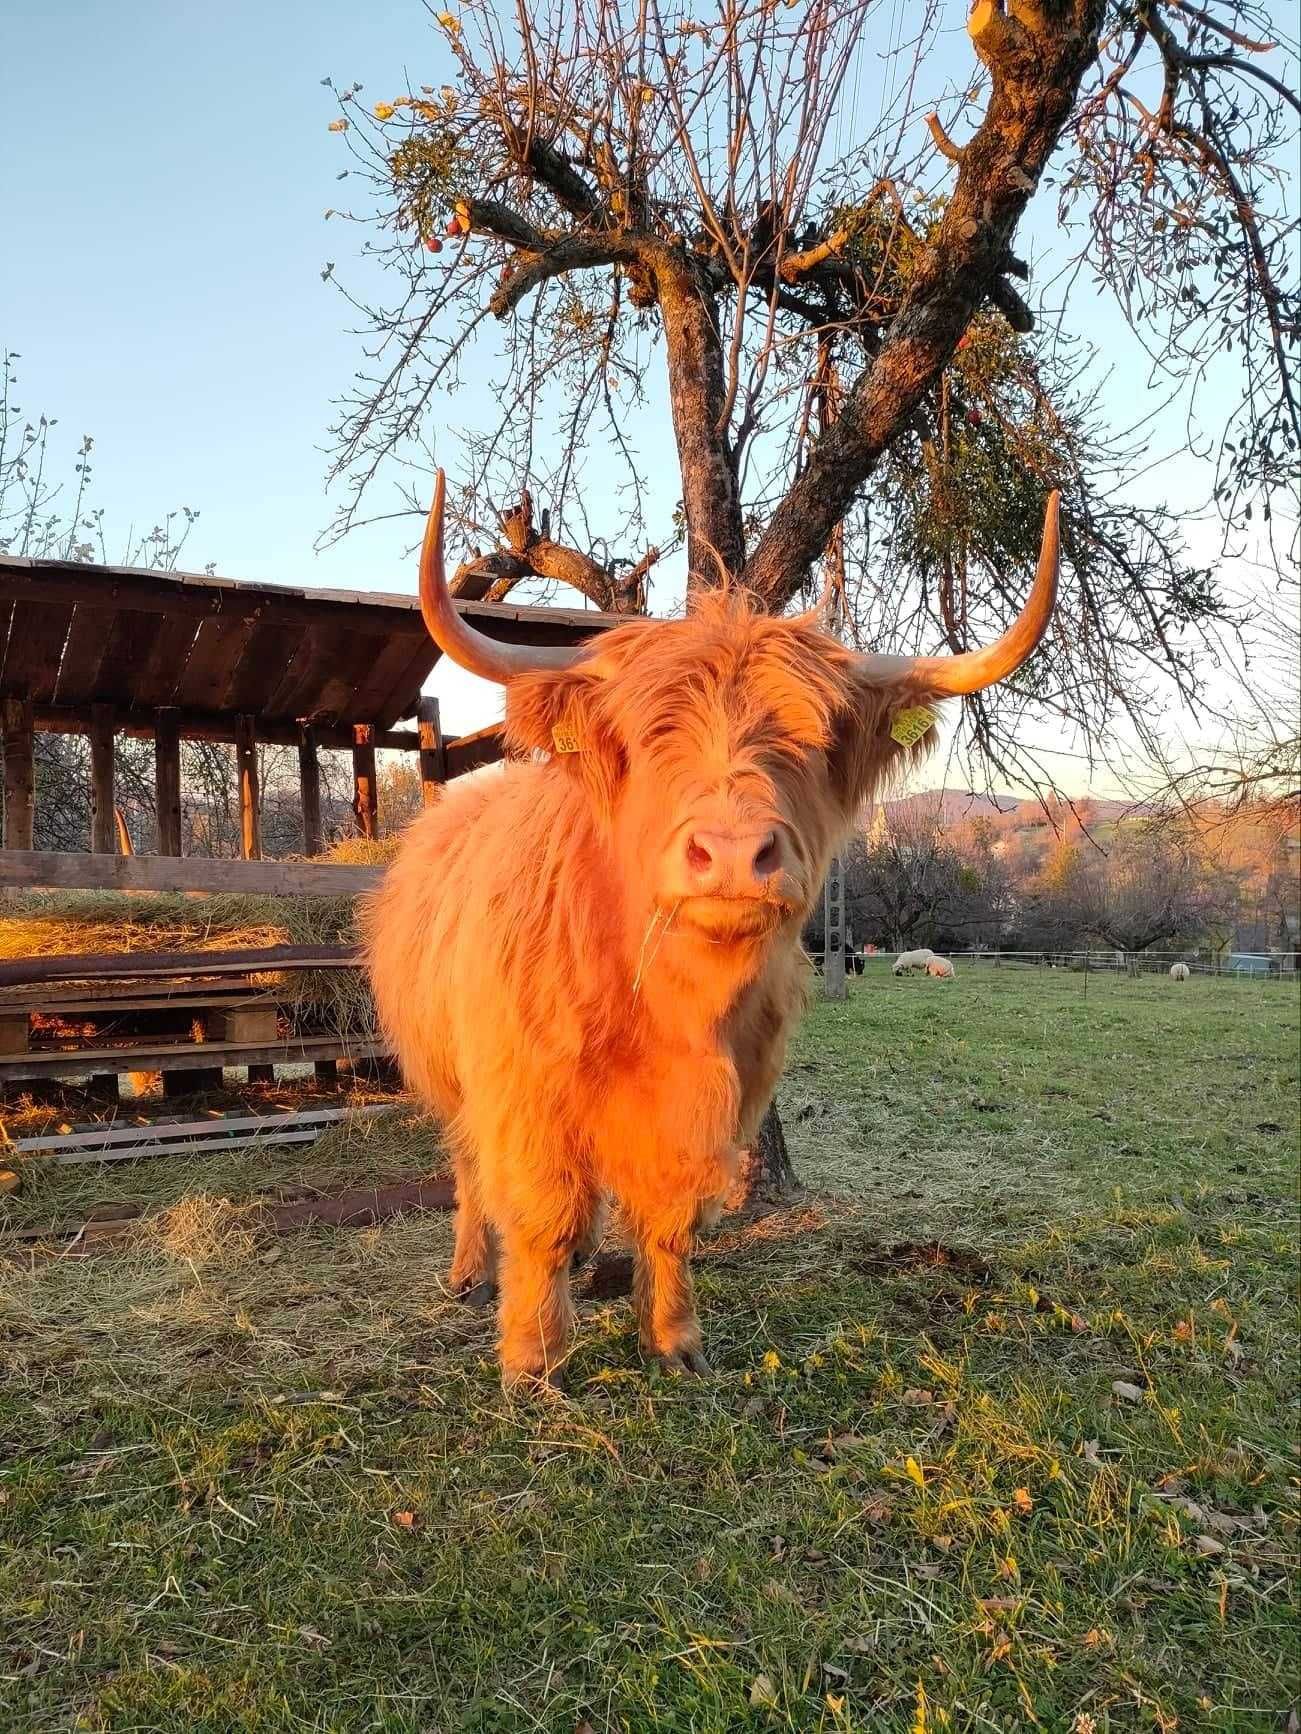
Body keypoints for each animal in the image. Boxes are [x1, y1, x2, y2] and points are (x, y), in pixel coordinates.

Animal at [362, 478, 1061, 1394]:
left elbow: (668, 1221)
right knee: (473, 1174)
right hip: (447, 1074)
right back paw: (470, 1272)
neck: (666, 1002)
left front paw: (673, 1340)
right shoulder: (524, 1094)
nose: (731, 851)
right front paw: (533, 1358)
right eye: (646, 733)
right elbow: (541, 1215)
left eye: (816, 736)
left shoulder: (712, 1104)